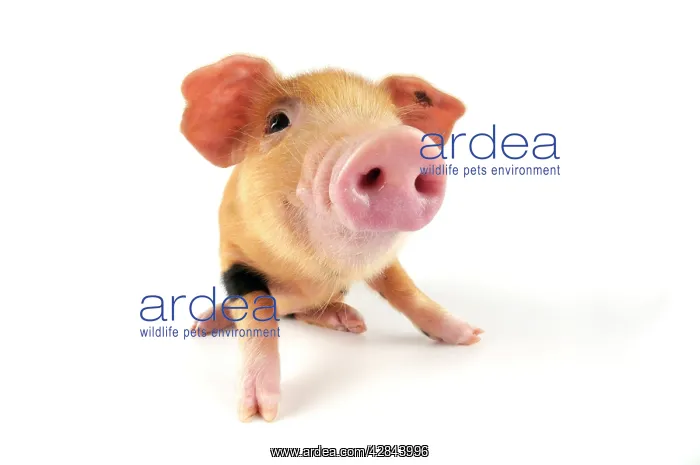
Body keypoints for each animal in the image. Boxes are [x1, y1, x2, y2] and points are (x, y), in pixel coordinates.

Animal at [180, 54, 483, 422]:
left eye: (396, 120)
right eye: (276, 122)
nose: (394, 145)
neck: (310, 274)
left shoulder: (383, 264)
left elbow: (405, 290)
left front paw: (471, 336)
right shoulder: (235, 258)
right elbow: (258, 311)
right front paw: (258, 414)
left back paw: (352, 322)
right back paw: (201, 326)